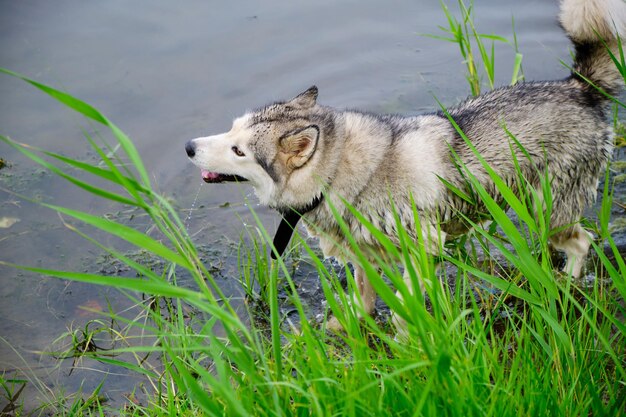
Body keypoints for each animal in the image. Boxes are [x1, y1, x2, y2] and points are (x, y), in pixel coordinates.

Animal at [185, 0, 624, 332]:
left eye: (238, 150)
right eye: (230, 129)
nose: (189, 147)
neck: (342, 174)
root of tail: (579, 88)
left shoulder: (425, 247)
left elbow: (402, 307)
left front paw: (409, 340)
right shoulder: (363, 255)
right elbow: (363, 303)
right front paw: (343, 331)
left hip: (547, 213)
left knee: (583, 242)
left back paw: (565, 285)